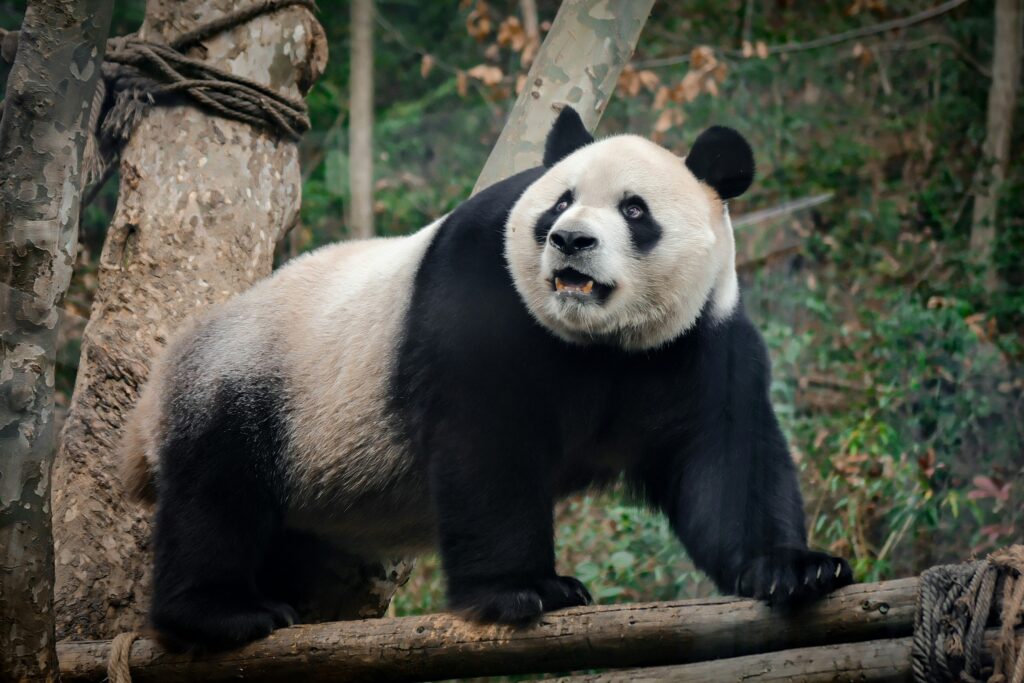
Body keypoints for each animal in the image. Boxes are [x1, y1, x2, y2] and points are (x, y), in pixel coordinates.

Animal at [123, 106, 853, 649]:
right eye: (560, 202)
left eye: (634, 210)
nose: (570, 241)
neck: (600, 339)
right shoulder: (483, 288)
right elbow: (486, 442)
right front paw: (526, 588)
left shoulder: (697, 339)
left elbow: (725, 458)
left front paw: (795, 568)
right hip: (255, 382)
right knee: (218, 495)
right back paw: (223, 612)